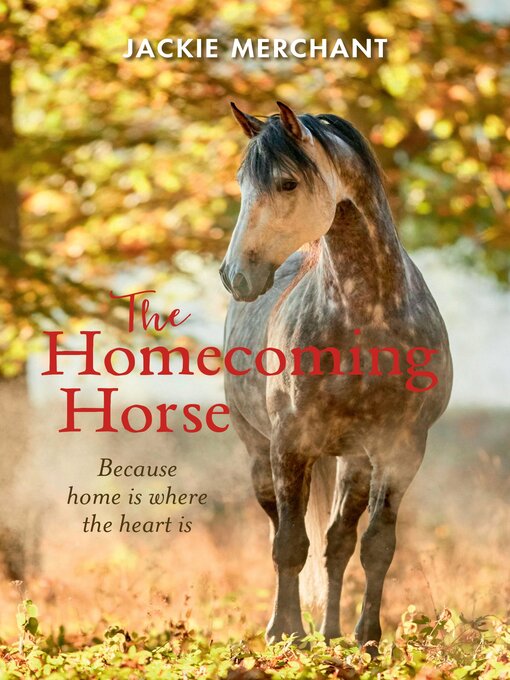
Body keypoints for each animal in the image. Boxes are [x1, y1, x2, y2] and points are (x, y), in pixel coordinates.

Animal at [219, 101, 453, 649]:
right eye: (241, 183)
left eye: (286, 183)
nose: (235, 276)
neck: (368, 317)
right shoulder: (290, 445)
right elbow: (288, 543)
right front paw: (285, 633)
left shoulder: (400, 449)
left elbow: (376, 546)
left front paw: (368, 639)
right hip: (260, 452)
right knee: (282, 531)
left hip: (355, 461)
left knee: (338, 542)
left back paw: (330, 633)